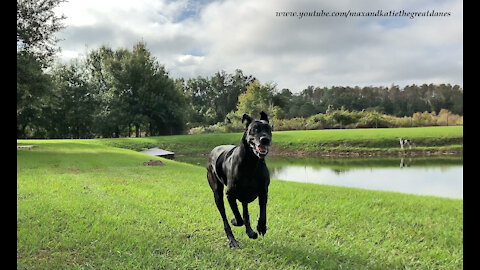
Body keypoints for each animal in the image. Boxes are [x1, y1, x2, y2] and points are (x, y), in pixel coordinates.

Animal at [206, 110, 272, 248]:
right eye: (254, 129)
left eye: (268, 129)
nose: (265, 139)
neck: (251, 163)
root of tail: (213, 150)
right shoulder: (230, 194)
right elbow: (238, 217)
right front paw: (235, 221)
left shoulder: (264, 191)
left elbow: (262, 212)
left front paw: (261, 227)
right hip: (217, 194)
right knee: (225, 218)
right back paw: (232, 240)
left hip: (244, 196)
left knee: (245, 212)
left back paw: (250, 232)